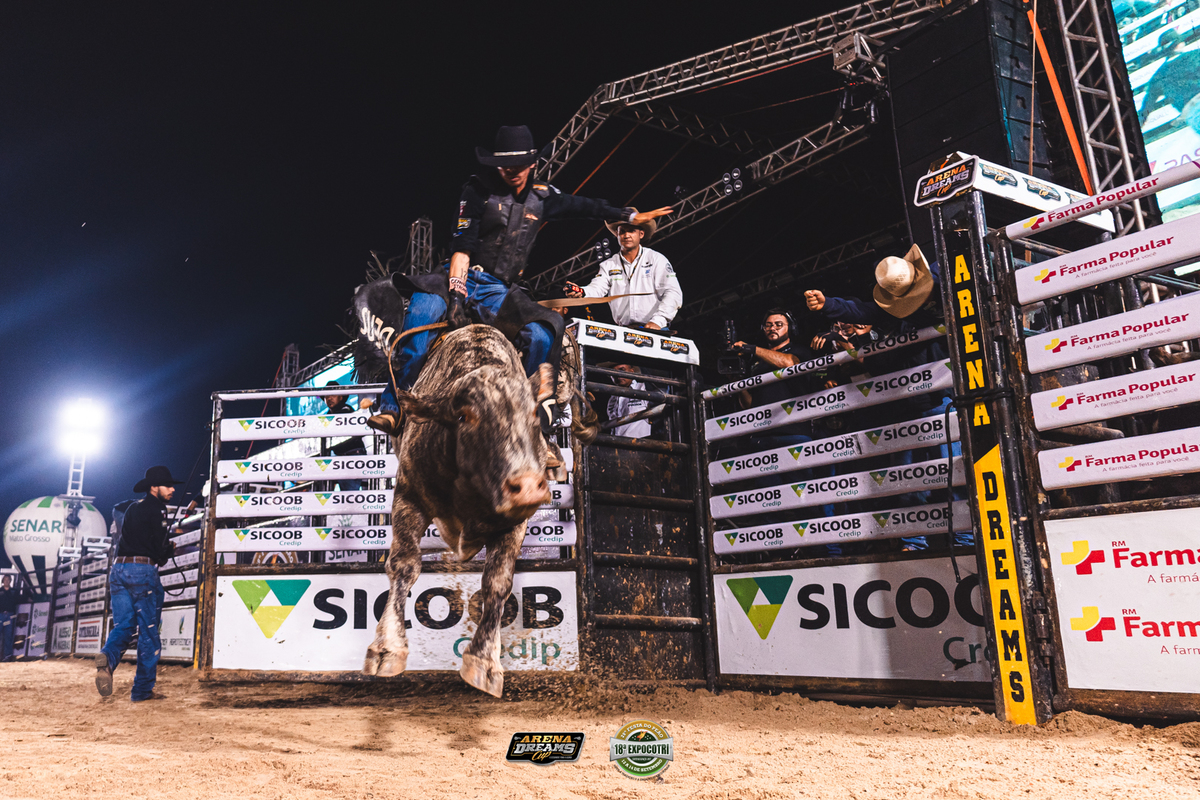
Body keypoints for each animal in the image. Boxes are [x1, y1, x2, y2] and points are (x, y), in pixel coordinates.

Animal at [363, 324, 561, 696]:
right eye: (463, 416)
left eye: (533, 414)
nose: (528, 486)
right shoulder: (409, 494)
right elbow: (404, 565)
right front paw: (387, 648)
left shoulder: (516, 521)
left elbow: (497, 582)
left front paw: (484, 661)